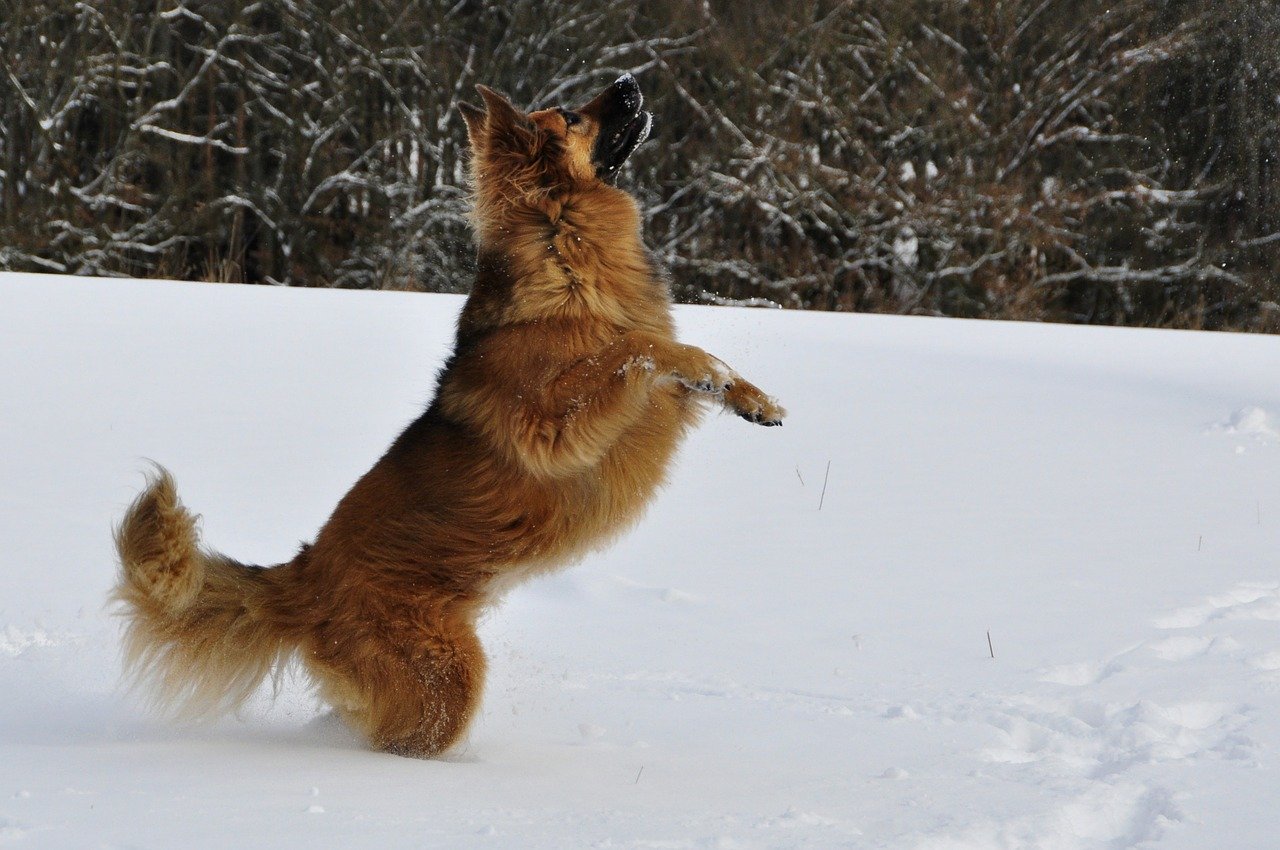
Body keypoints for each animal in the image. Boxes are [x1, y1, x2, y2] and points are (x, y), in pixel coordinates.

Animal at [115, 74, 783, 757]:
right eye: (572, 116)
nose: (627, 81)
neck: (560, 240)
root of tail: (302, 577)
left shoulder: (656, 403)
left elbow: (679, 359)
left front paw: (750, 396)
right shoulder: (553, 425)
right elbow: (636, 347)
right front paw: (707, 367)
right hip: (446, 676)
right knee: (405, 736)